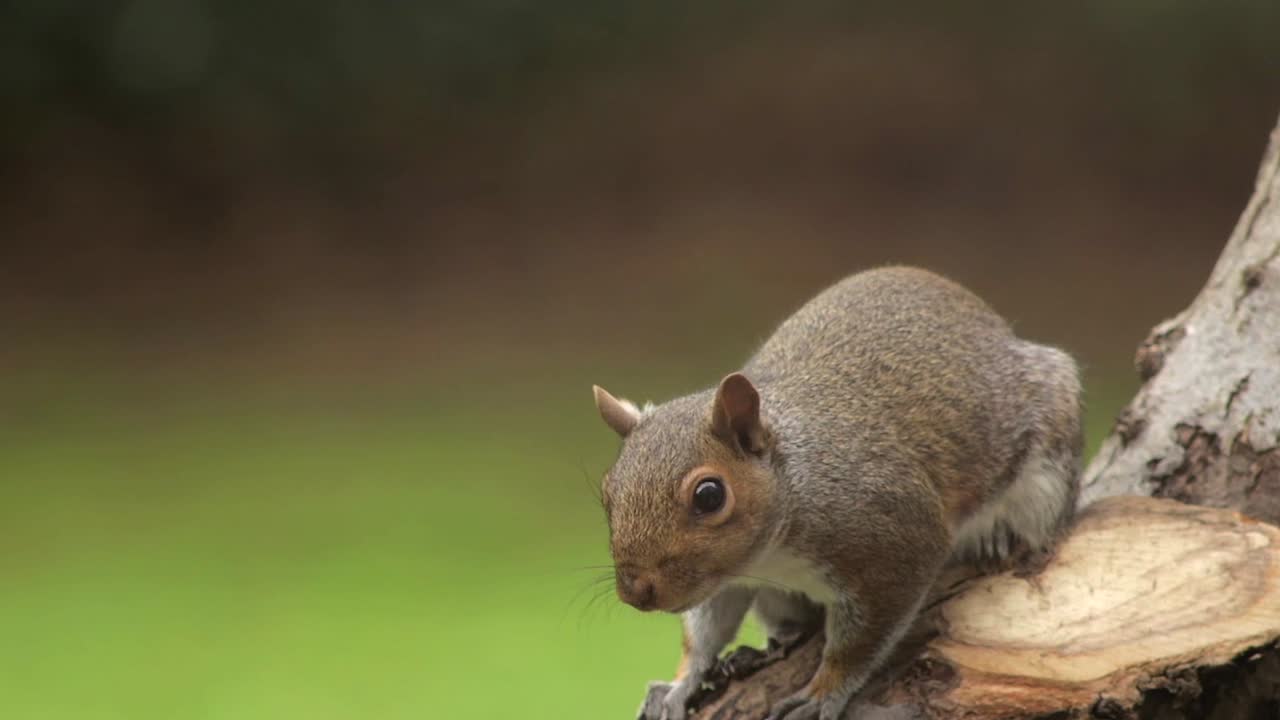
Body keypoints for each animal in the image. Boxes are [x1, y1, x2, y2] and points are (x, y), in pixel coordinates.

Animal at [590, 266, 1083, 720]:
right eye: (607, 492)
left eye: (709, 496)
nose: (635, 592)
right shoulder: (726, 578)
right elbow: (707, 632)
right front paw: (681, 684)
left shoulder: (895, 539)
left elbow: (861, 640)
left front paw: (825, 690)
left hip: (1046, 458)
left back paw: (998, 535)